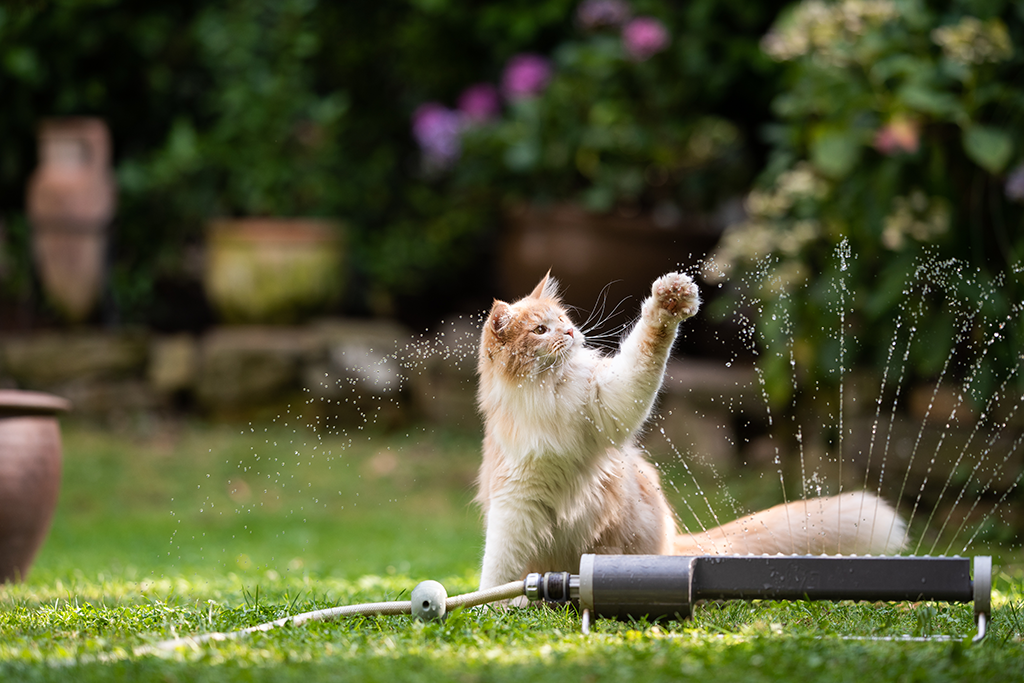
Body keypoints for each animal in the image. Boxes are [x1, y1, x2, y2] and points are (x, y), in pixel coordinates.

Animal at [471, 270, 905, 589]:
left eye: (563, 321)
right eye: (540, 331)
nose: (571, 334)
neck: (551, 394)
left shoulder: (609, 402)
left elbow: (648, 347)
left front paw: (669, 301)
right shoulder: (515, 502)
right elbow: (497, 569)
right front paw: (495, 606)